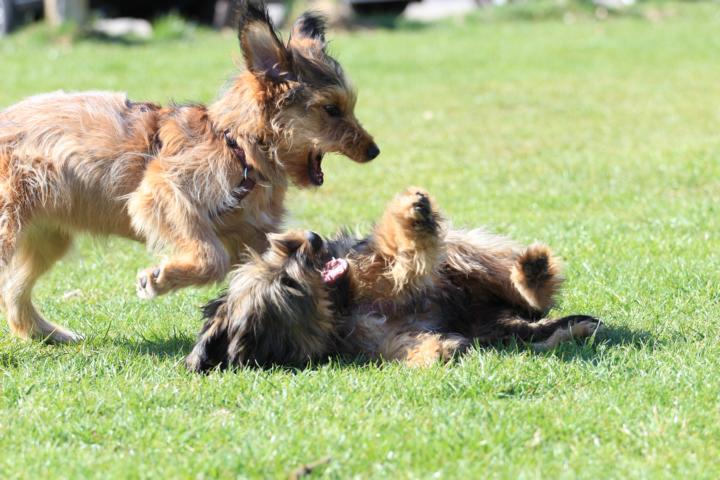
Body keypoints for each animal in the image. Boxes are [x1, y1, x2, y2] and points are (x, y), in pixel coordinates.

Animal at [0, 2, 379, 343]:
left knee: (14, 290)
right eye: (331, 109)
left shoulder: (253, 232)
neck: (238, 148)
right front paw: (158, 278)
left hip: (48, 236)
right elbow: (212, 257)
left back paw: (47, 333)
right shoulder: (162, 191)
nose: (375, 151)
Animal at [186, 188, 601, 371]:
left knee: (518, 287)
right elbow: (410, 343)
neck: (345, 305)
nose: (314, 240)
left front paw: (408, 214)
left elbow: (397, 254)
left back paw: (533, 270)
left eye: (282, 248)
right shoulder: (376, 336)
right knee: (532, 322)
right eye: (286, 282)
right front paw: (438, 349)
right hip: (493, 318)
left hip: (467, 257)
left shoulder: (372, 263)